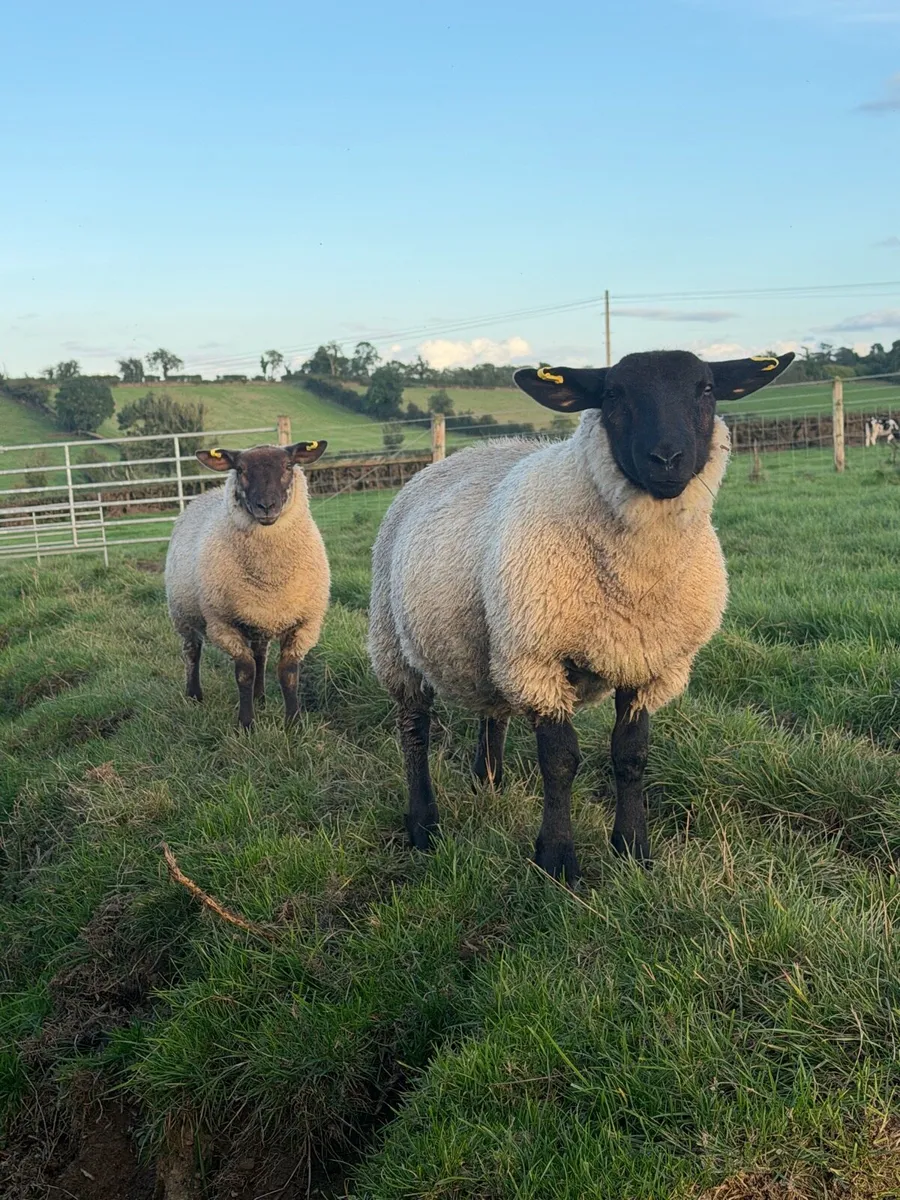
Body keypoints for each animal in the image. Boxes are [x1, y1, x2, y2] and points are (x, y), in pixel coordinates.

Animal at [165, 440, 329, 729]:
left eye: (289, 465)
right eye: (240, 469)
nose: (266, 506)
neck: (269, 577)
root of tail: (209, 492)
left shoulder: (305, 623)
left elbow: (288, 673)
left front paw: (293, 723)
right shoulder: (223, 623)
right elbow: (244, 672)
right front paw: (247, 723)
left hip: (258, 620)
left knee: (260, 655)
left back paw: (260, 696)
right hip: (183, 613)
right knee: (192, 651)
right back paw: (194, 695)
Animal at [368, 350, 795, 883]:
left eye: (707, 388)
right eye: (613, 393)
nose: (666, 459)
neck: (636, 580)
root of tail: (463, 454)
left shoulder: (648, 662)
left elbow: (631, 756)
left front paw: (633, 851)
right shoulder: (538, 661)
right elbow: (560, 762)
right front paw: (557, 861)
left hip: (491, 644)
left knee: (491, 713)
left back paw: (488, 782)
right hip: (396, 642)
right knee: (414, 731)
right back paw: (424, 825)